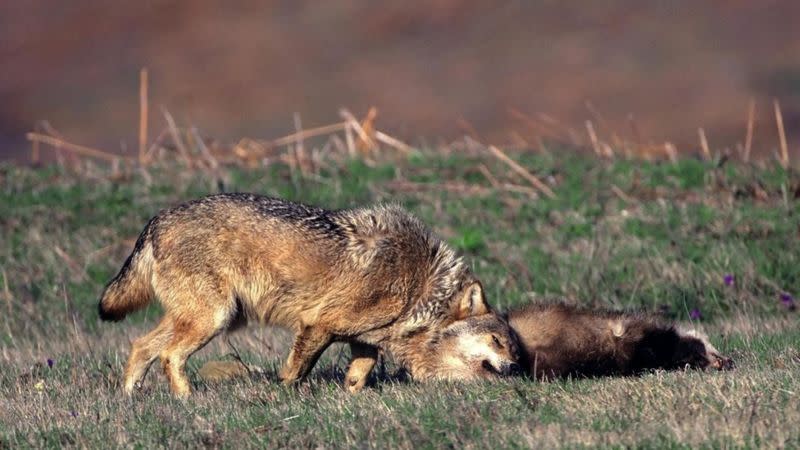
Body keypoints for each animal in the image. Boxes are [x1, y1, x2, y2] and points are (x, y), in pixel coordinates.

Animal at [98, 192, 520, 394]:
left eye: (513, 347)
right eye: (497, 341)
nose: (517, 368)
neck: (420, 287)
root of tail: (156, 220)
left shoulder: (362, 340)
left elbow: (359, 374)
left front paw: (350, 399)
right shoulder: (319, 324)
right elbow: (297, 370)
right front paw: (283, 393)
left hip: (203, 318)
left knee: (141, 345)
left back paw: (131, 398)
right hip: (214, 319)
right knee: (168, 355)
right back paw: (187, 399)